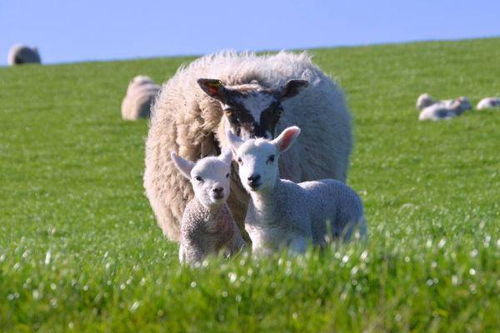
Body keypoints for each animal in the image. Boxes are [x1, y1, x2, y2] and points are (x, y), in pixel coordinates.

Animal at [228, 124, 368, 254]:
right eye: (240, 160)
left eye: (271, 157)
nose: (253, 178)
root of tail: (340, 184)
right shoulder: (261, 244)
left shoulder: (300, 238)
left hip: (354, 229)